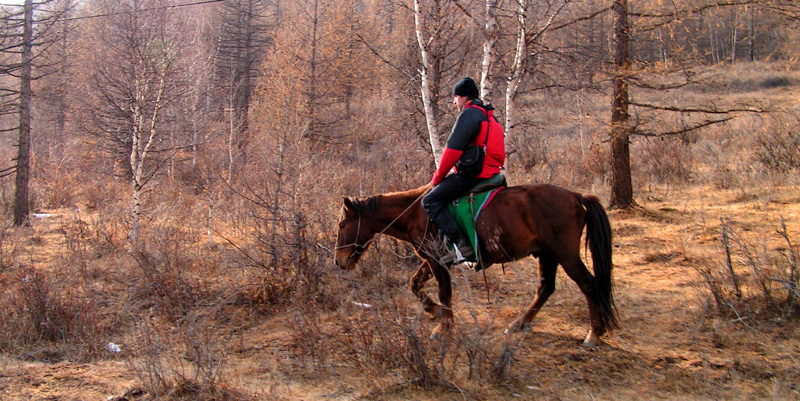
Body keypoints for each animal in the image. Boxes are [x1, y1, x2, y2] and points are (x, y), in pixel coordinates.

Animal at [332, 183, 620, 346]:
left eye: (342, 225)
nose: (339, 261)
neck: (415, 213)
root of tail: (576, 196)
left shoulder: (437, 261)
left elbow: (444, 293)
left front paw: (443, 327)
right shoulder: (431, 260)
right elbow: (414, 284)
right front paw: (435, 312)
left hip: (564, 254)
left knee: (589, 285)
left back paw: (594, 333)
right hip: (547, 254)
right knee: (545, 288)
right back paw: (519, 324)